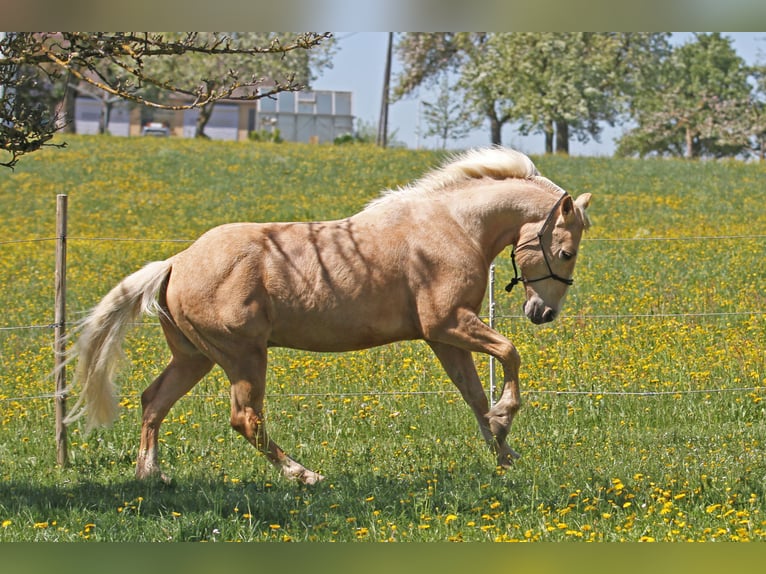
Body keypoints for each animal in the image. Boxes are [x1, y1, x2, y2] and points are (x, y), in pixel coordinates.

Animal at [65, 147, 592, 484]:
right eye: (566, 252)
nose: (543, 312)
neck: (452, 227)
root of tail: (176, 261)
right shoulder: (447, 324)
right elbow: (510, 353)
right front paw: (506, 421)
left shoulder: (443, 338)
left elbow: (475, 396)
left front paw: (504, 452)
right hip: (243, 357)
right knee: (245, 419)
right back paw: (305, 475)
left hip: (195, 357)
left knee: (153, 401)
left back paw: (150, 475)